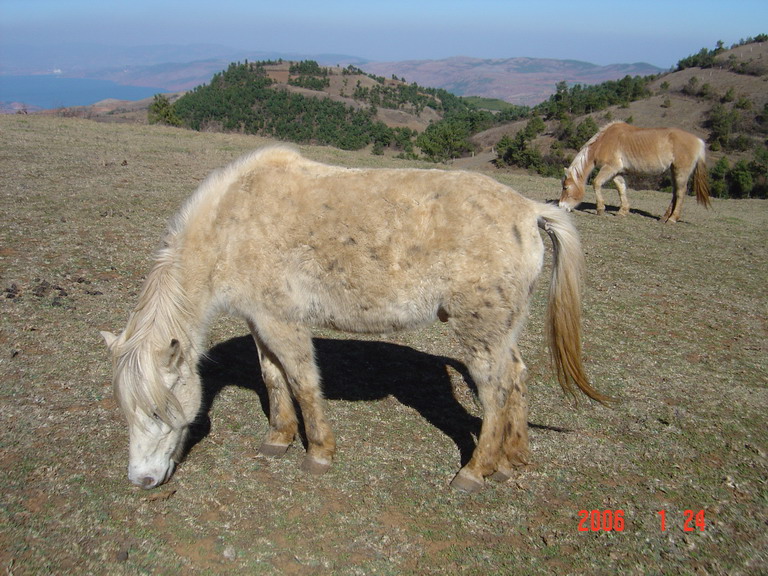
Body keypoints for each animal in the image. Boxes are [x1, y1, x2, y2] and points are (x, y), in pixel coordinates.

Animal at [102, 146, 608, 492]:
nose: (141, 480)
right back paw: (512, 459)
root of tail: (529, 212)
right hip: (502, 328)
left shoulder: (282, 322)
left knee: (496, 390)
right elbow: (272, 377)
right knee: (517, 376)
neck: (233, 224)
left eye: (157, 411)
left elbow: (303, 381)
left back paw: (474, 472)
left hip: (480, 332)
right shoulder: (260, 320)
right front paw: (278, 439)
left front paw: (319, 453)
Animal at [560, 121, 712, 223]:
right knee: (675, 193)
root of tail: (699, 141)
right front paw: (622, 211)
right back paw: (664, 217)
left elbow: (596, 183)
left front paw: (600, 209)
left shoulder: (610, 168)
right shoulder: (617, 172)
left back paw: (672, 219)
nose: (561, 206)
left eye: (566, 187)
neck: (603, 142)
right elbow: (621, 188)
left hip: (681, 172)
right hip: (674, 171)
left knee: (680, 193)